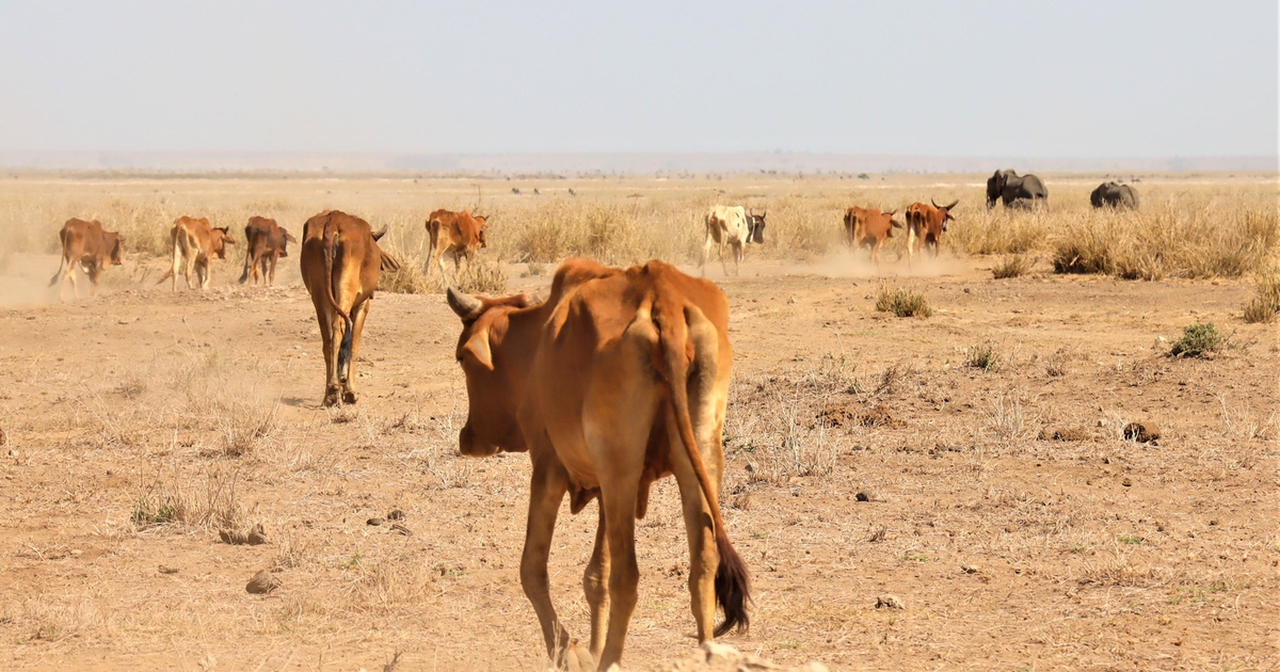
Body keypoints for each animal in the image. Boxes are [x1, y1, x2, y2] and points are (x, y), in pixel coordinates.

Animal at [299, 208, 399, 404]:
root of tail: (333, 221)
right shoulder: (362, 307)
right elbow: (353, 345)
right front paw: (350, 390)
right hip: (346, 292)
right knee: (339, 330)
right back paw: (338, 389)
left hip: (320, 297)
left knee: (328, 342)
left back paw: (329, 393)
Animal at [445, 256, 747, 665]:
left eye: (462, 359)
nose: (467, 437)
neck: (541, 340)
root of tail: (662, 296)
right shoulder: (605, 488)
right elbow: (595, 577)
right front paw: (588, 646)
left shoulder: (549, 467)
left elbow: (532, 569)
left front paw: (568, 651)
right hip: (697, 455)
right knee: (703, 564)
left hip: (620, 466)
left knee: (627, 576)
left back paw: (611, 662)